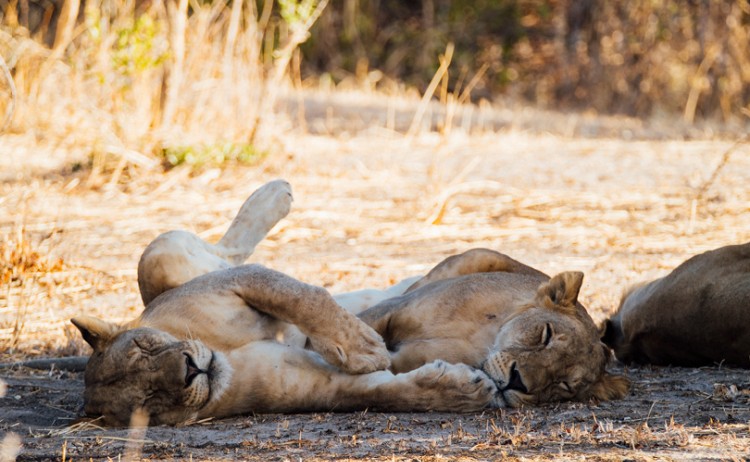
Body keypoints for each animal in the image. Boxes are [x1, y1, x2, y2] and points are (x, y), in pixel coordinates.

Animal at [71, 180, 629, 426]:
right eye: (149, 402)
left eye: (147, 346)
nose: (190, 370)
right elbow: (384, 388)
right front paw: (452, 387)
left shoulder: (245, 285)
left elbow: (301, 295)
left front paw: (360, 346)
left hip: (167, 262)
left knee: (227, 249)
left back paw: (275, 193)